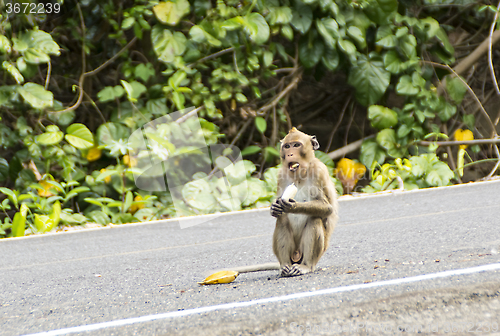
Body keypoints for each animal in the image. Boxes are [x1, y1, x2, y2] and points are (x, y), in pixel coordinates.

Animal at [272, 127, 338, 276]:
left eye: (296, 145)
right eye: (287, 146)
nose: (290, 154)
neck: (299, 175)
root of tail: (297, 256)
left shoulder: (319, 171)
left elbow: (327, 207)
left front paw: (292, 206)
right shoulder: (280, 174)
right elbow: (278, 207)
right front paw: (274, 207)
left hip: (318, 251)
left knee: (315, 218)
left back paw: (306, 266)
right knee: (281, 219)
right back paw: (284, 266)